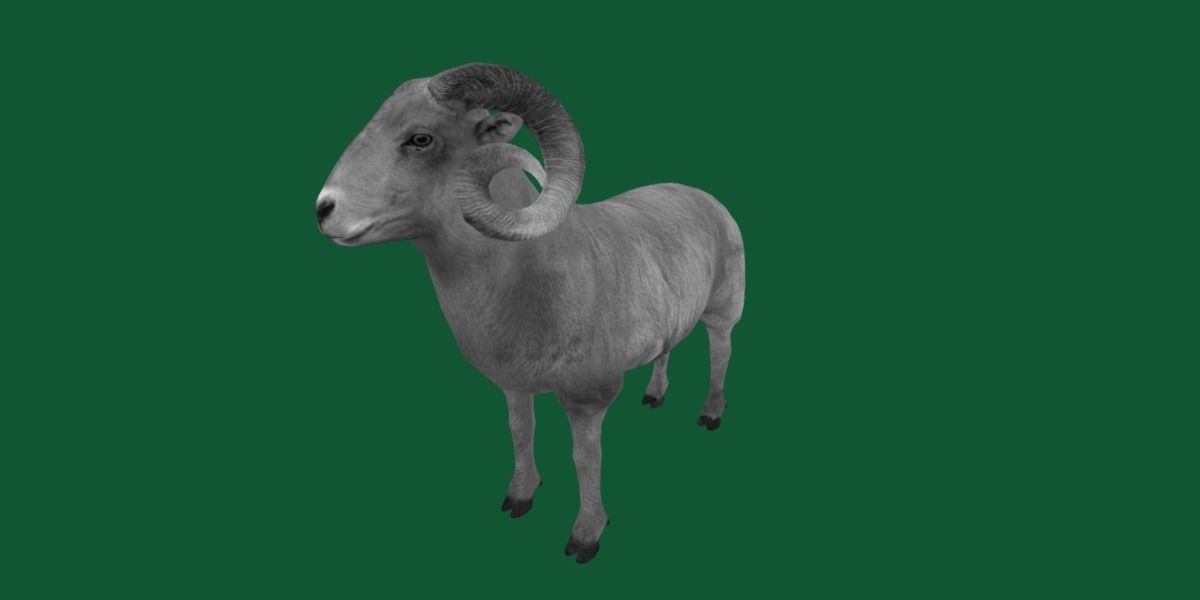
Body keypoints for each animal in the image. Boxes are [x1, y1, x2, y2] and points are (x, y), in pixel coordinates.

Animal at [316, 63, 744, 563]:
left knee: (720, 353)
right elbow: (521, 432)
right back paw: (654, 396)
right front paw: (519, 497)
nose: (324, 209)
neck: (528, 275)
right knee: (667, 350)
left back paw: (710, 414)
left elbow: (585, 460)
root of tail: (705, 196)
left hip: (723, 310)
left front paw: (586, 537)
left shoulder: (587, 399)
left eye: (421, 138)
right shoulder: (514, 384)